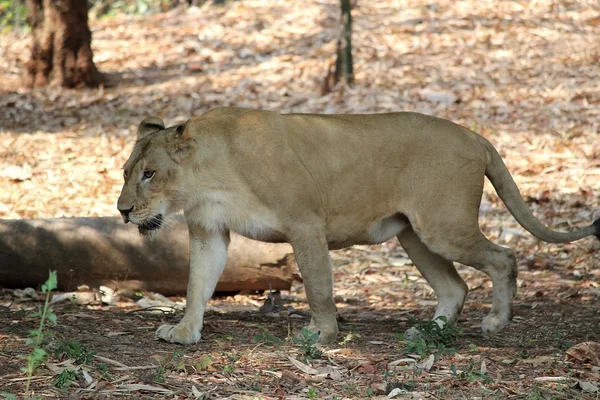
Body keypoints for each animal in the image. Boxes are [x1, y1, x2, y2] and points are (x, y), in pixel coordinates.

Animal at [117, 107, 600, 344]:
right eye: (126, 172)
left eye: (149, 174)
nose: (122, 211)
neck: (208, 175)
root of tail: (476, 136)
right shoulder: (209, 232)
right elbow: (196, 286)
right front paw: (184, 333)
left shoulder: (305, 223)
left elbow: (318, 287)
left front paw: (323, 336)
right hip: (414, 234)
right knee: (455, 287)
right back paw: (429, 332)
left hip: (442, 227)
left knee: (503, 258)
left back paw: (497, 322)